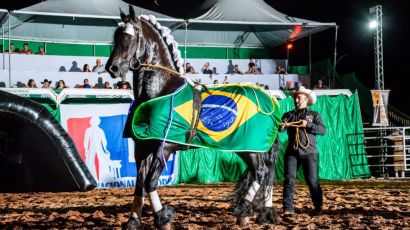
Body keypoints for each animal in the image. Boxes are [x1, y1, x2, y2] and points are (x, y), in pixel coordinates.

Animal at [105, 5, 282, 228]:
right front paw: (133, 221)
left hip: (251, 147)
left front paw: (163, 218)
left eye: (130, 36)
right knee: (263, 172)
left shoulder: (165, 147)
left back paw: (243, 210)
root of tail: (269, 99)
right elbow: (139, 185)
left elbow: (150, 182)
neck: (160, 89)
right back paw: (261, 211)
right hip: (246, 147)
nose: (112, 68)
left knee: (261, 172)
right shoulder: (141, 148)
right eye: (116, 36)